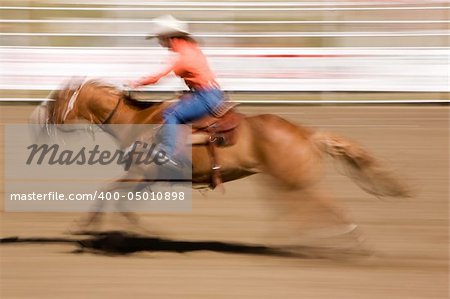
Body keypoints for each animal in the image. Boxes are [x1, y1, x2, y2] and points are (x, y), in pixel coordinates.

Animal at [30, 79, 412, 246]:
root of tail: (306, 132)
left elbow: (107, 192)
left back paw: (345, 240)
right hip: (280, 180)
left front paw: (87, 227)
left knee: (323, 206)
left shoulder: (140, 172)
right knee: (301, 209)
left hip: (293, 179)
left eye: (57, 99)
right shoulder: (149, 177)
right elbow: (120, 200)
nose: (37, 119)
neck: (137, 119)